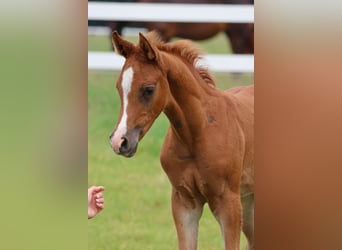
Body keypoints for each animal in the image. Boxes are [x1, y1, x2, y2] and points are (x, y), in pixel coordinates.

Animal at [109, 30, 254, 249]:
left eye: (148, 89)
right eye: (119, 87)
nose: (119, 141)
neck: (198, 133)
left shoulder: (228, 202)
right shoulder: (184, 202)